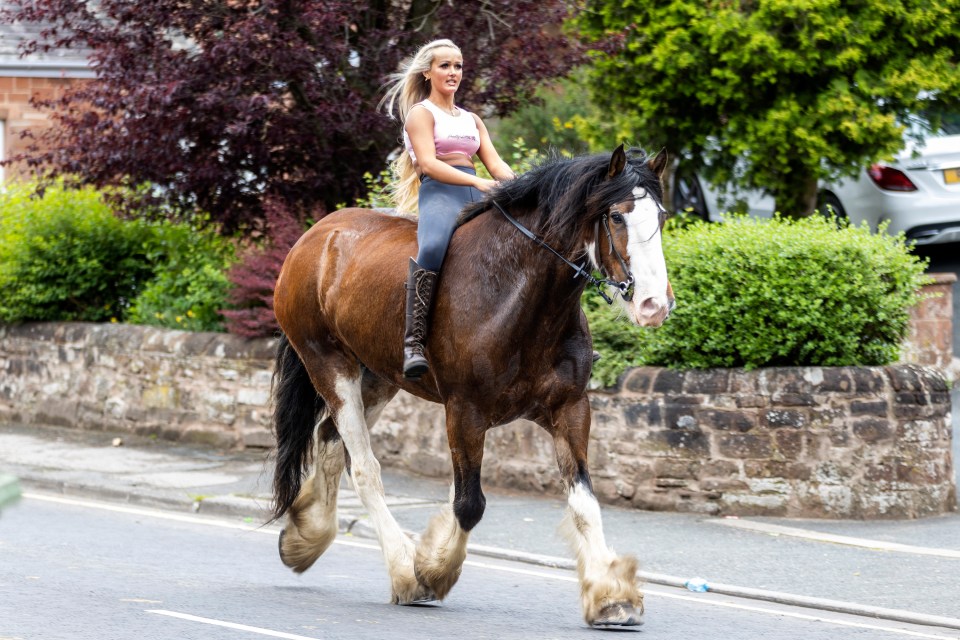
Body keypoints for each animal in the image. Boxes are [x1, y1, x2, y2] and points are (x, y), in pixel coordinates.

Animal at [272, 144, 676, 624]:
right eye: (616, 216)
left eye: (661, 217)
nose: (654, 305)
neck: (521, 298)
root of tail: (315, 235)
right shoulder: (465, 411)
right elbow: (469, 503)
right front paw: (432, 569)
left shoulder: (570, 409)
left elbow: (583, 502)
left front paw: (611, 596)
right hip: (329, 365)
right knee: (364, 466)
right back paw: (401, 570)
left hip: (377, 377)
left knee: (330, 439)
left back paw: (305, 536)